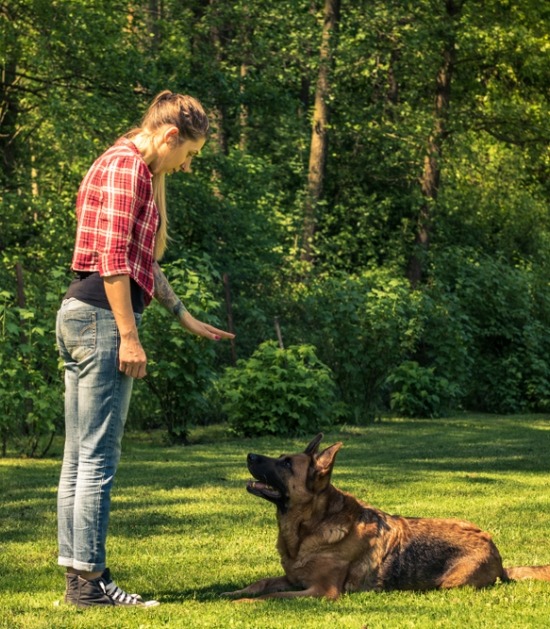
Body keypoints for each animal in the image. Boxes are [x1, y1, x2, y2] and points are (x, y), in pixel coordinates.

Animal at [223, 432, 550, 600]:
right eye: (280, 458)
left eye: (287, 464)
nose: (249, 455)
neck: (310, 527)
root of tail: (497, 555)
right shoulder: (292, 579)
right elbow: (262, 583)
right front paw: (235, 592)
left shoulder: (321, 591)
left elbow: (269, 596)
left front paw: (247, 602)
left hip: (450, 584)